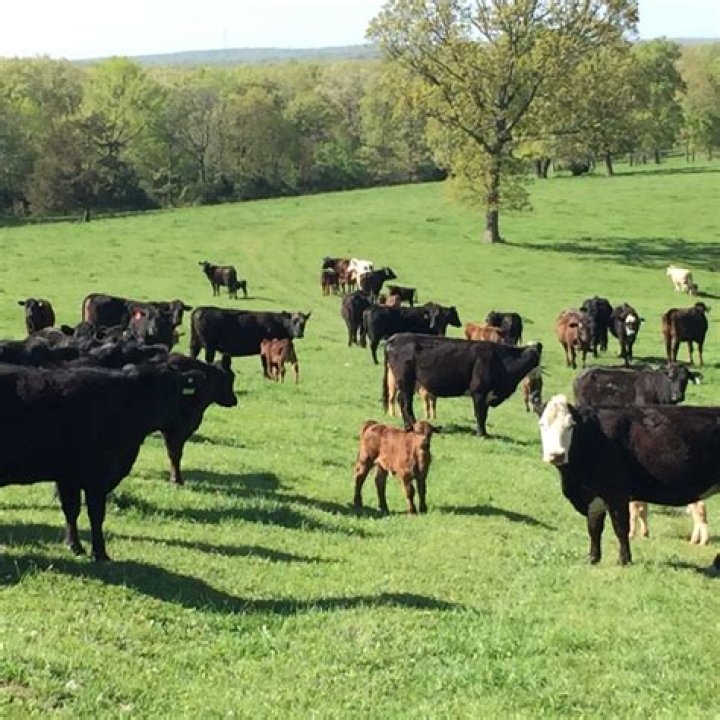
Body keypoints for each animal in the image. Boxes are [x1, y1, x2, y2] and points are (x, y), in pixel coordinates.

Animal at [0, 361, 200, 560]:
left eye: (172, 389)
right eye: (152, 391)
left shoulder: (68, 477)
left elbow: (71, 511)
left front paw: (74, 546)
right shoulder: (95, 477)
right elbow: (95, 514)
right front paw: (100, 553)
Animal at [384, 333, 542, 437]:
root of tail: (395, 338)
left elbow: (484, 414)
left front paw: (485, 432)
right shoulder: (479, 392)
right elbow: (480, 414)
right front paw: (481, 434)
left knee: (401, 401)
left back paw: (408, 427)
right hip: (405, 380)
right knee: (405, 403)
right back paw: (415, 426)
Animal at [538, 394, 720, 565]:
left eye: (571, 425)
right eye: (542, 425)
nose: (556, 455)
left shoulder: (617, 494)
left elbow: (620, 527)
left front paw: (624, 559)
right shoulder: (594, 497)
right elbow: (594, 528)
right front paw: (593, 558)